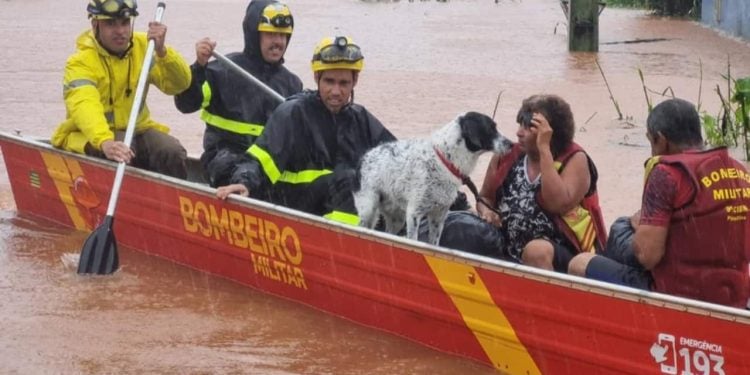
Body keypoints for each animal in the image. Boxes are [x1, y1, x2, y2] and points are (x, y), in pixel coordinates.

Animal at [356, 111, 516, 245]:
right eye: (490, 128)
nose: (512, 144)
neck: (445, 160)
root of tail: (365, 156)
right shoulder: (414, 213)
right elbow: (413, 240)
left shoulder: (438, 216)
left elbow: (434, 243)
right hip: (369, 208)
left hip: (397, 218)